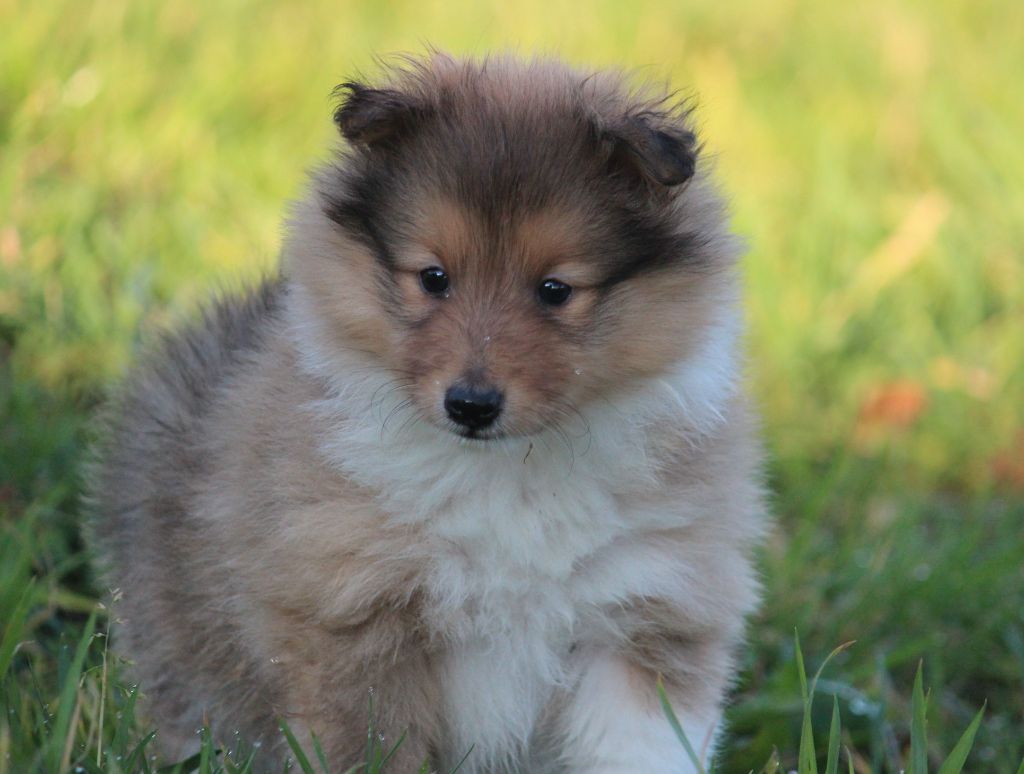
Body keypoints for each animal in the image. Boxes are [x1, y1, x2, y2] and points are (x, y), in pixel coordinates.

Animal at [90, 54, 770, 774]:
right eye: (434, 277)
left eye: (555, 290)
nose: (470, 404)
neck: (508, 477)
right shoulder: (355, 615)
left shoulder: (651, 610)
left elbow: (640, 745)